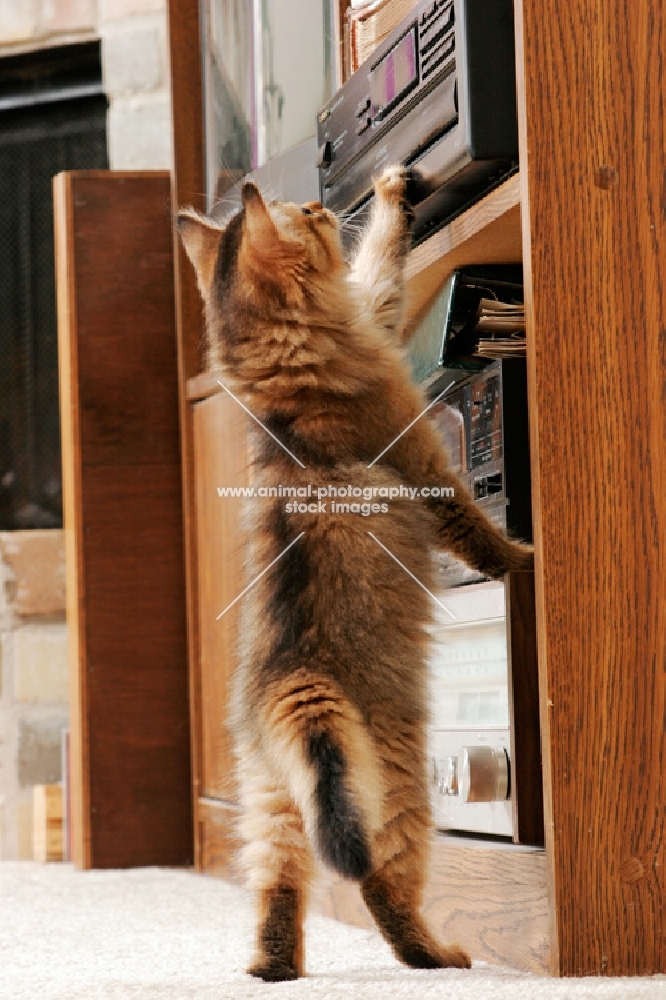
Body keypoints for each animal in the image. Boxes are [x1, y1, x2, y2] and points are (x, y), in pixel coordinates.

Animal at [176, 168, 528, 980]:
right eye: (305, 216)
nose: (321, 203)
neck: (284, 395)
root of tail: (293, 677)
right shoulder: (428, 468)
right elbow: (477, 531)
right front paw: (527, 558)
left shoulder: (373, 309)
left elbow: (379, 271)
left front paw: (394, 192)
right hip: (400, 780)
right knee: (378, 883)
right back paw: (436, 955)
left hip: (271, 796)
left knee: (277, 885)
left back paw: (275, 970)